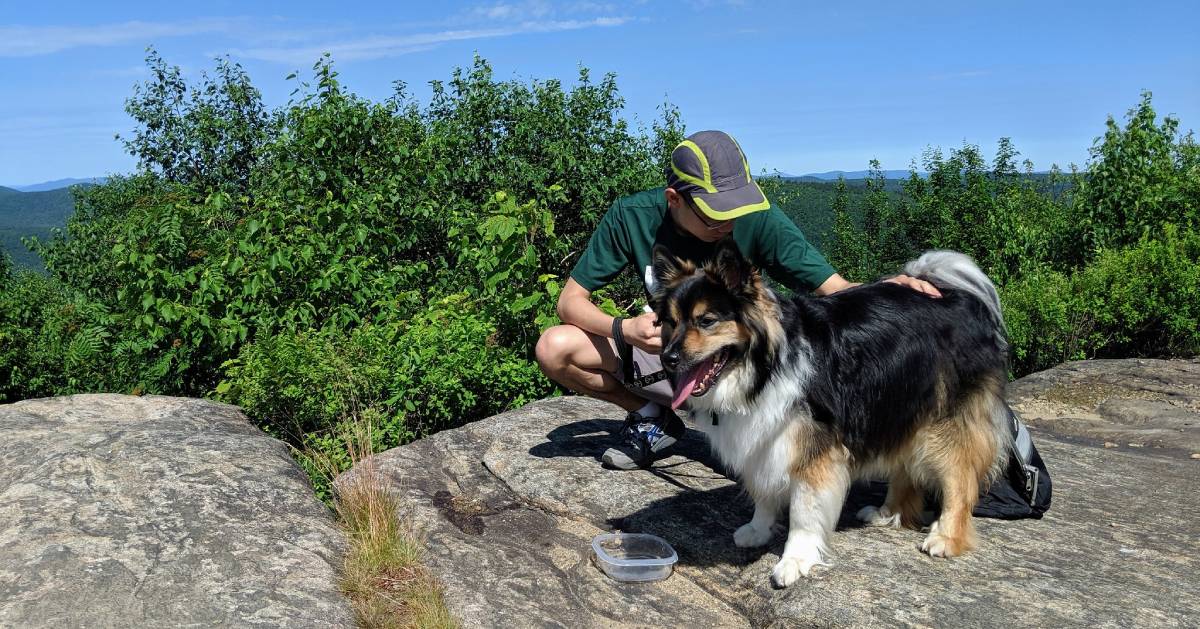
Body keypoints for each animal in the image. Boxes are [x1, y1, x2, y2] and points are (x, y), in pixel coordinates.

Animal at [652, 238, 1008, 588]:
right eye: (670, 321)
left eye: (706, 321)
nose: (668, 358)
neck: (764, 368)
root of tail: (957, 297)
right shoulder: (764, 437)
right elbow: (763, 490)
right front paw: (758, 529)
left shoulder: (813, 449)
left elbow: (804, 511)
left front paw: (795, 560)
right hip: (899, 407)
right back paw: (887, 513)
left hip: (943, 422)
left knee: (960, 478)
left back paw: (945, 537)